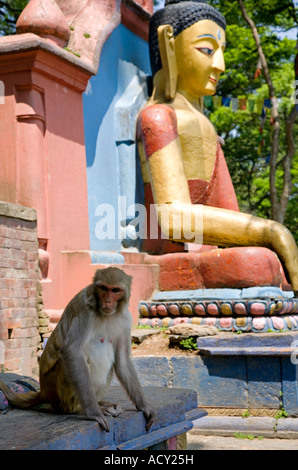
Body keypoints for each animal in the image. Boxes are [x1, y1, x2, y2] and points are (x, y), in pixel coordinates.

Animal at [0, 266, 156, 432]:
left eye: (115, 290)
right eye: (103, 288)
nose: (107, 300)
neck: (106, 314)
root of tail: (44, 392)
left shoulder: (126, 319)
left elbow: (122, 360)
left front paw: (144, 406)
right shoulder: (85, 311)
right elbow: (71, 351)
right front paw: (94, 413)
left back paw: (101, 403)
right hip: (57, 393)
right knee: (72, 363)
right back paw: (80, 409)